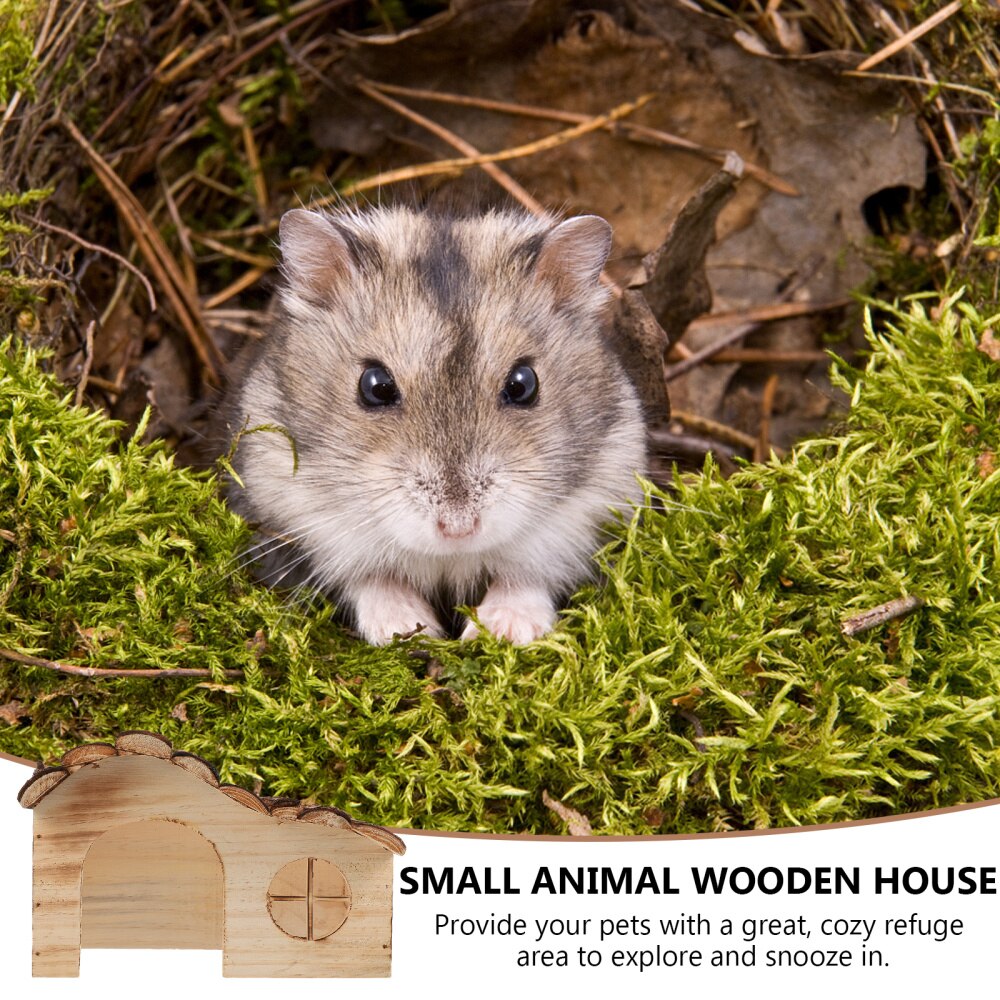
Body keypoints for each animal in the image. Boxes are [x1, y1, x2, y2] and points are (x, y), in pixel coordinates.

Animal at [224, 206, 646, 645]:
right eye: (375, 386)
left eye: (523, 383)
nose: (458, 529)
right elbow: (371, 578)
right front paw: (412, 630)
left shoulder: (587, 510)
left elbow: (526, 576)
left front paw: (503, 631)